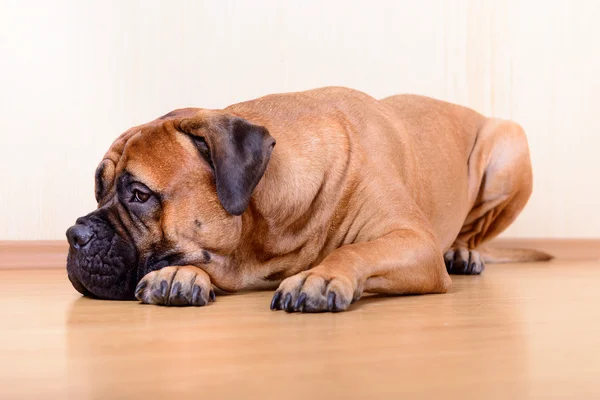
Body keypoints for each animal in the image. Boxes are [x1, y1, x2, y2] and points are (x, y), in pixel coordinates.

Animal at [67, 86, 552, 312]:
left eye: (138, 194)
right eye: (98, 189)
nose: (74, 234)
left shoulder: (413, 241)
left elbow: (357, 250)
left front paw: (317, 277)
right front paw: (180, 274)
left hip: (508, 145)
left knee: (474, 232)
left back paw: (464, 252)